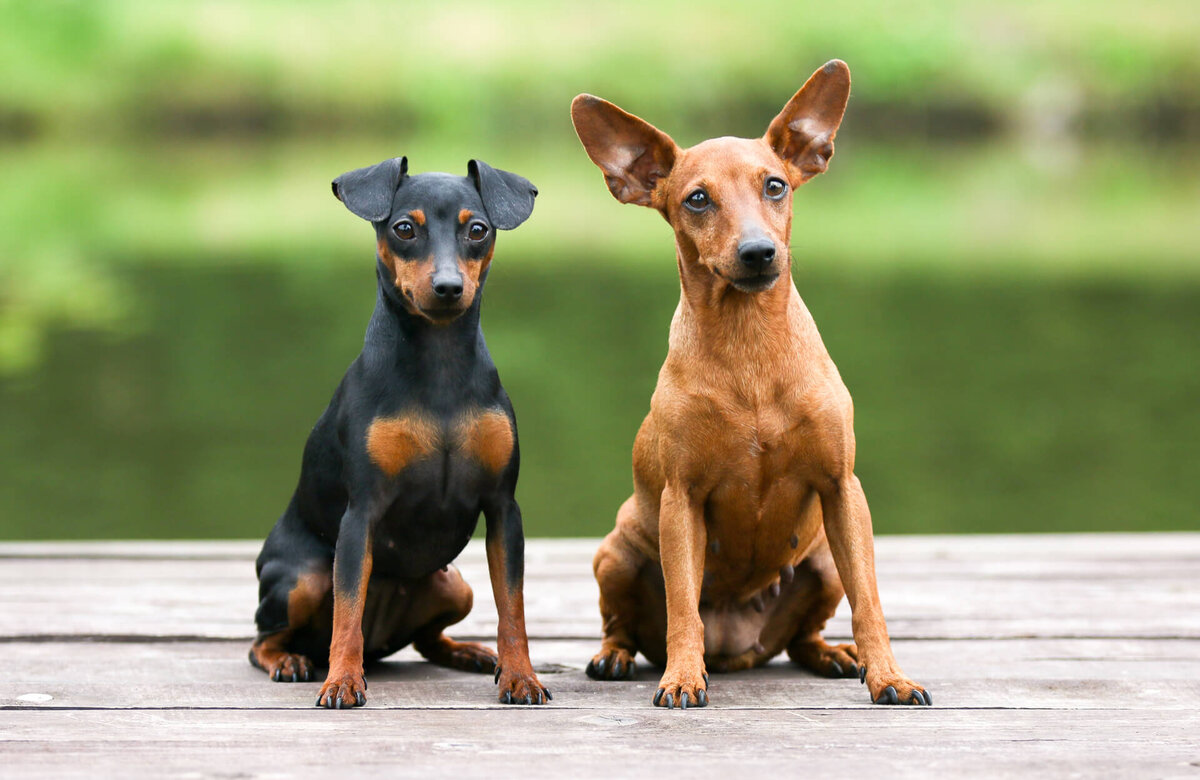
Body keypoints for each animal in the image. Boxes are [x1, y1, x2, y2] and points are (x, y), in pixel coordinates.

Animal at [253, 154, 552, 705]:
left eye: (478, 230)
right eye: (404, 229)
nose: (449, 287)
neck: (439, 365)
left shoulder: (504, 510)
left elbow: (513, 608)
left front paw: (521, 675)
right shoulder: (360, 515)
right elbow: (348, 611)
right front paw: (341, 681)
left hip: (453, 583)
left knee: (428, 639)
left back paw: (471, 652)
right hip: (301, 579)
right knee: (267, 637)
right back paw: (291, 660)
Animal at [568, 60, 926, 705]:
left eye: (775, 186)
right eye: (697, 199)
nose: (759, 252)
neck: (750, 348)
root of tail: (737, 648)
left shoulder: (842, 489)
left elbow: (871, 603)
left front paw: (889, 676)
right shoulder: (681, 501)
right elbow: (683, 608)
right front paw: (682, 677)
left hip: (823, 561)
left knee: (805, 636)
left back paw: (836, 655)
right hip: (616, 553)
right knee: (625, 624)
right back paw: (616, 656)